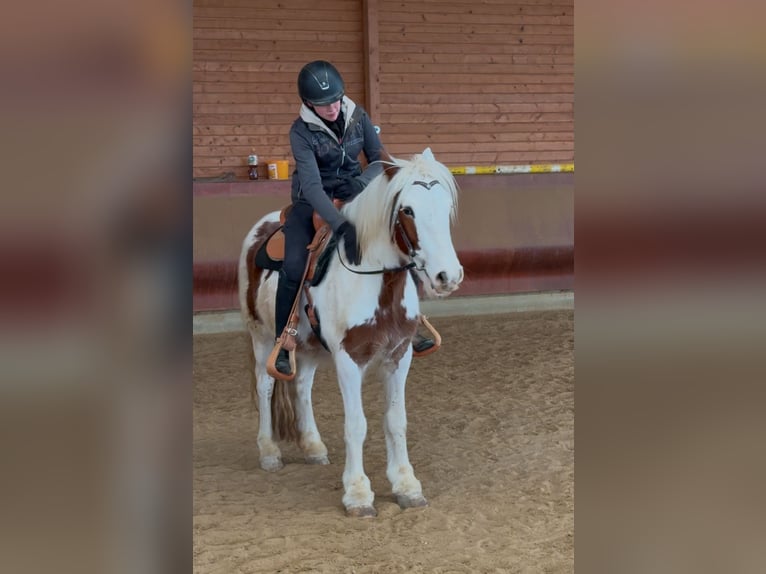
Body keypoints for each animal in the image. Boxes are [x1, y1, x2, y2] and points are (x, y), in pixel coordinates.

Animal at [237, 147, 464, 516]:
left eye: (446, 206)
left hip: (308, 347)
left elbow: (395, 420)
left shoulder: (400, 356)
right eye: (408, 210)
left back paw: (313, 446)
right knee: (266, 386)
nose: (448, 276)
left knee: (302, 386)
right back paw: (269, 451)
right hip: (262, 338)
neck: (374, 281)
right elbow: (356, 425)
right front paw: (357, 493)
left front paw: (406, 485)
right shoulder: (348, 359)